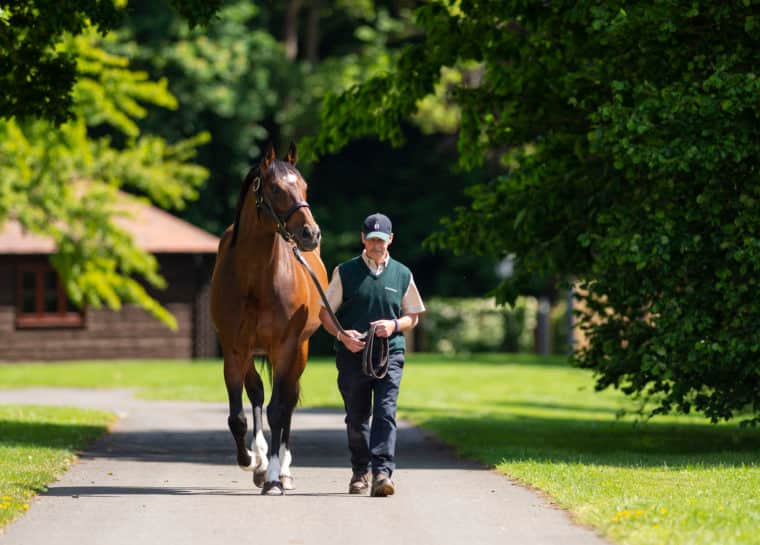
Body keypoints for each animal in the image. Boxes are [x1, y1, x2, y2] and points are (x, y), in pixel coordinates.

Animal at [211, 142, 326, 496]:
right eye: (275, 188)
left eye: (305, 187)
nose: (310, 233)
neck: (255, 279)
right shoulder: (235, 350)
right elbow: (238, 415)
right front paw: (252, 461)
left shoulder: (286, 347)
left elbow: (279, 410)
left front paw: (275, 477)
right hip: (253, 354)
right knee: (259, 394)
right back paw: (261, 460)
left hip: (297, 351)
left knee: (286, 401)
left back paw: (282, 471)